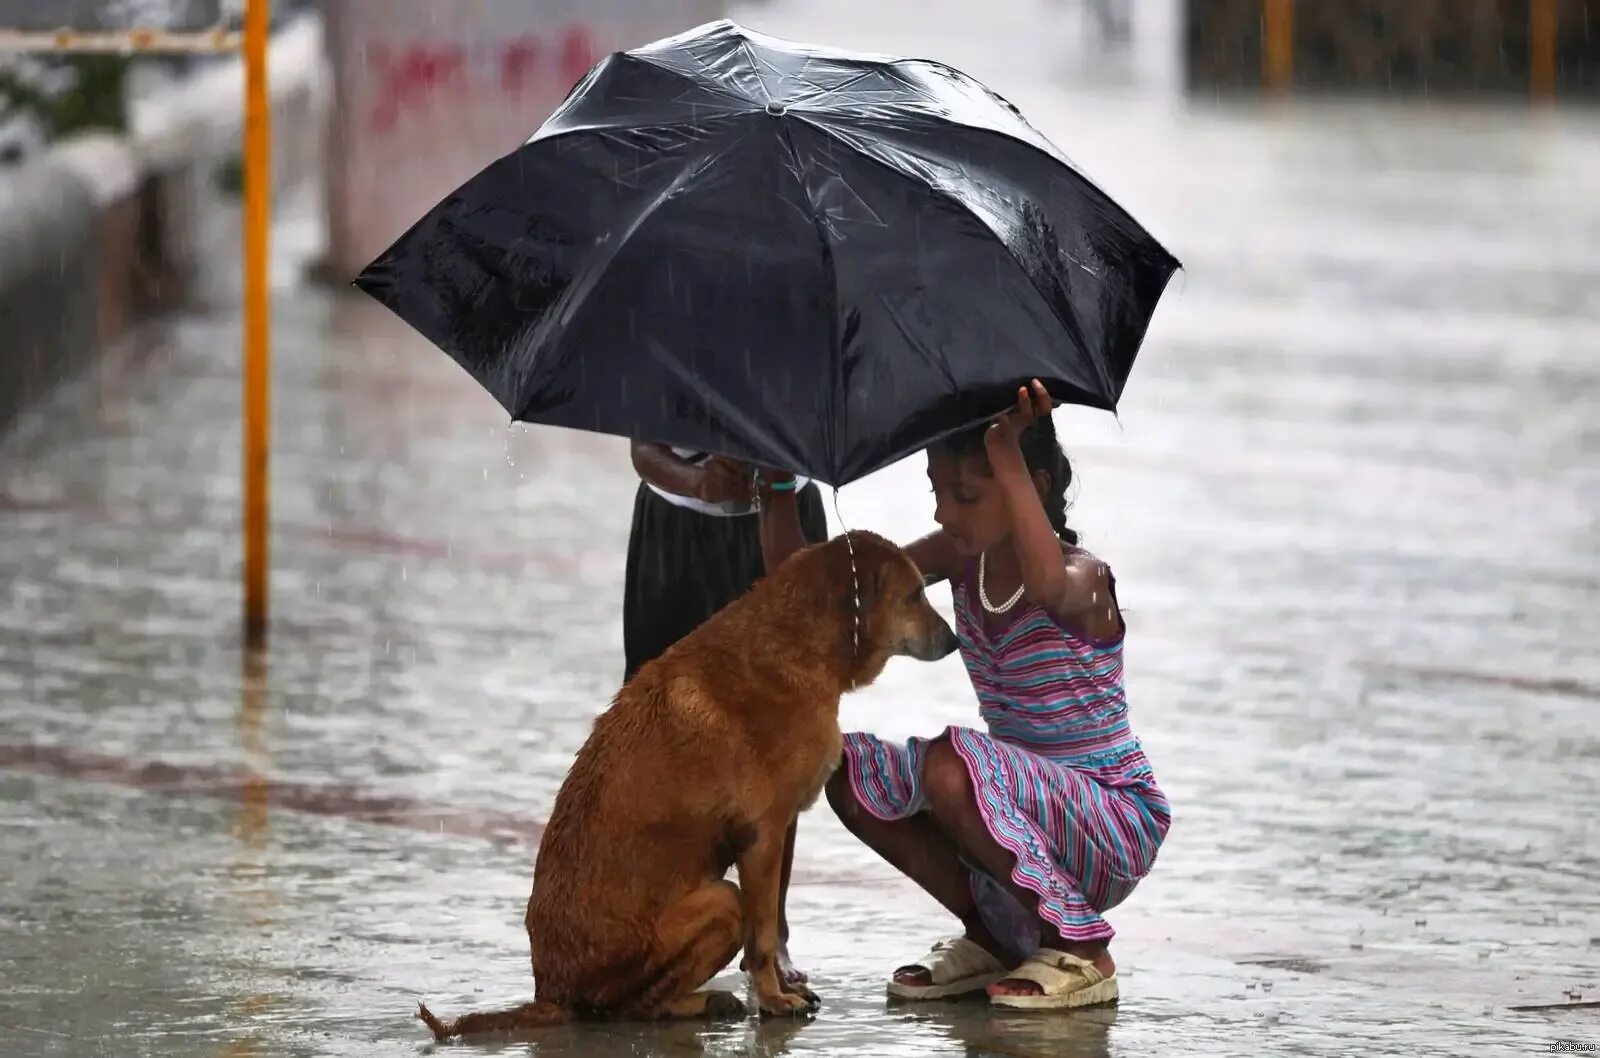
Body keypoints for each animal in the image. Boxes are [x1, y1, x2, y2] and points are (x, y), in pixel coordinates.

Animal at [419, 528, 953, 1030]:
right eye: (914, 596)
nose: (953, 641)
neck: (797, 643)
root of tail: (549, 995)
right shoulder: (763, 838)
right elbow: (763, 938)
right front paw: (774, 999)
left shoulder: (774, 835)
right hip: (721, 903)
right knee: (631, 1009)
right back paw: (700, 1002)